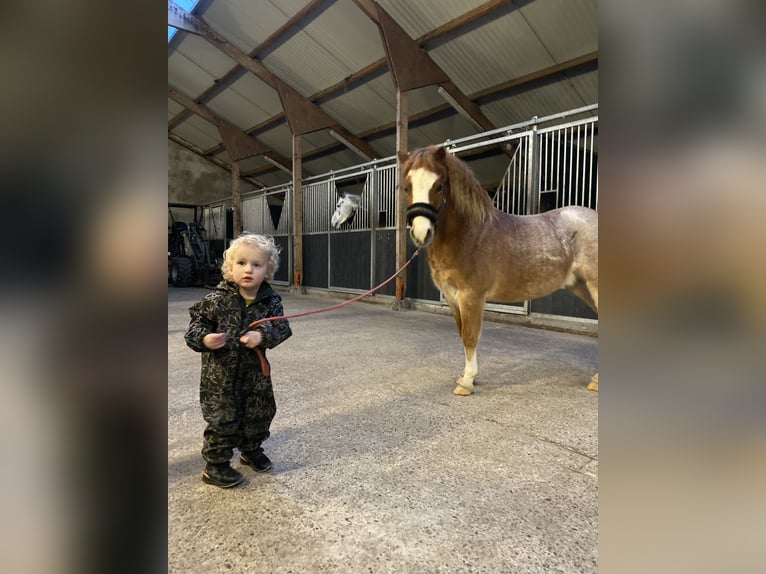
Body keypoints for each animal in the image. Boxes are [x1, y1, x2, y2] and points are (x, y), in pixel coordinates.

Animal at [399, 145, 598, 395]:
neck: (470, 235)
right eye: (407, 187)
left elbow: (470, 336)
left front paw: (466, 383)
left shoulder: (471, 296)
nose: (421, 234)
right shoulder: (453, 298)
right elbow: (462, 334)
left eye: (439, 186)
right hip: (582, 288)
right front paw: (465, 376)